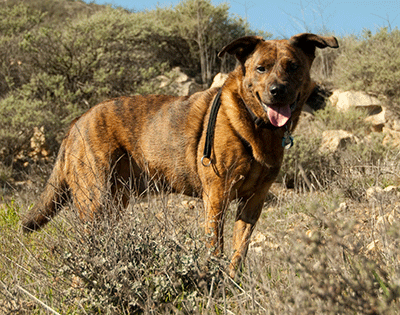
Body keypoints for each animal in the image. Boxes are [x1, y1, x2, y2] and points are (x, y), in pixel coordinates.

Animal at [22, 33, 338, 278]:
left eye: (293, 66)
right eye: (260, 68)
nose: (277, 91)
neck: (253, 122)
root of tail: (76, 123)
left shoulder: (253, 203)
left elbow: (239, 251)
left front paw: (233, 284)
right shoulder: (217, 196)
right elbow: (216, 247)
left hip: (114, 202)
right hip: (95, 202)